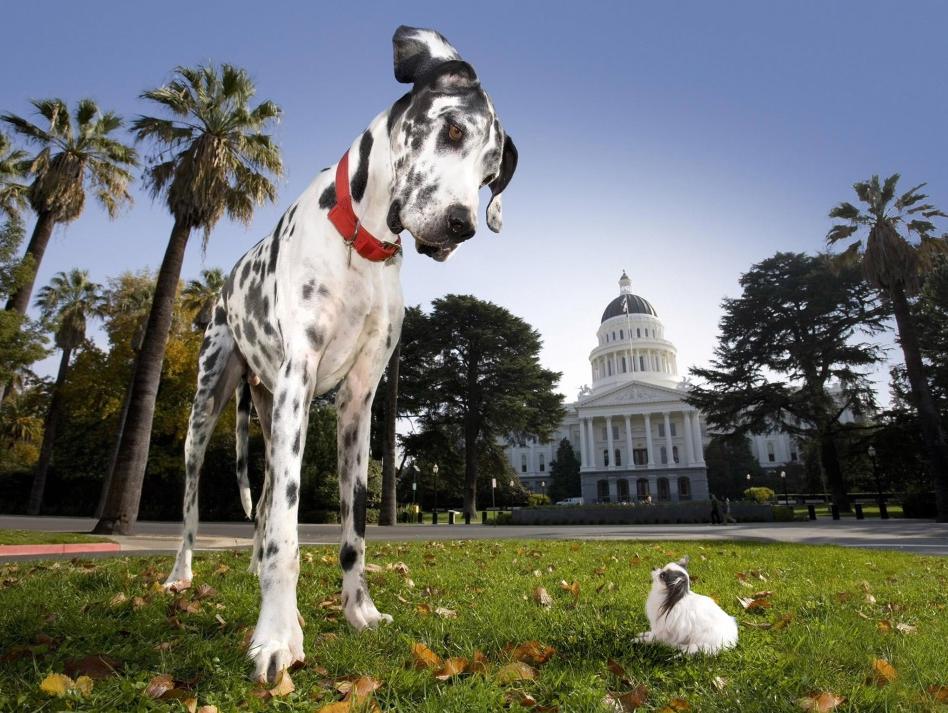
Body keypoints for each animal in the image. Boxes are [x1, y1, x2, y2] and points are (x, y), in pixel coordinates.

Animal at [163, 26, 520, 684]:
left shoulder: (359, 401)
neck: (363, 244)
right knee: (197, 503)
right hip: (209, 409)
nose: (461, 225)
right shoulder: (300, 381)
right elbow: (287, 531)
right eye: (453, 130)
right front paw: (277, 635)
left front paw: (359, 612)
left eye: (490, 173)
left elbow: (352, 526)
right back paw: (181, 574)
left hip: (270, 414)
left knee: (265, 502)